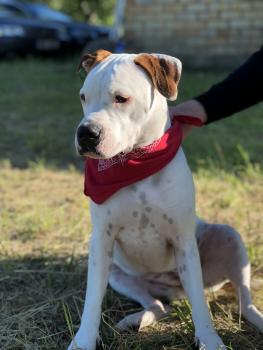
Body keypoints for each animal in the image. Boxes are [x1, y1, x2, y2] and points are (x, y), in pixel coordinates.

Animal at [68, 50, 263, 350]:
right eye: (83, 97)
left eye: (121, 98)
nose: (86, 133)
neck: (137, 160)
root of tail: (173, 287)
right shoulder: (101, 241)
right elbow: (92, 301)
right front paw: (83, 341)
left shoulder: (184, 242)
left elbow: (201, 306)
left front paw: (210, 339)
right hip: (119, 274)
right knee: (159, 305)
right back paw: (137, 319)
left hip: (230, 238)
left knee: (244, 304)